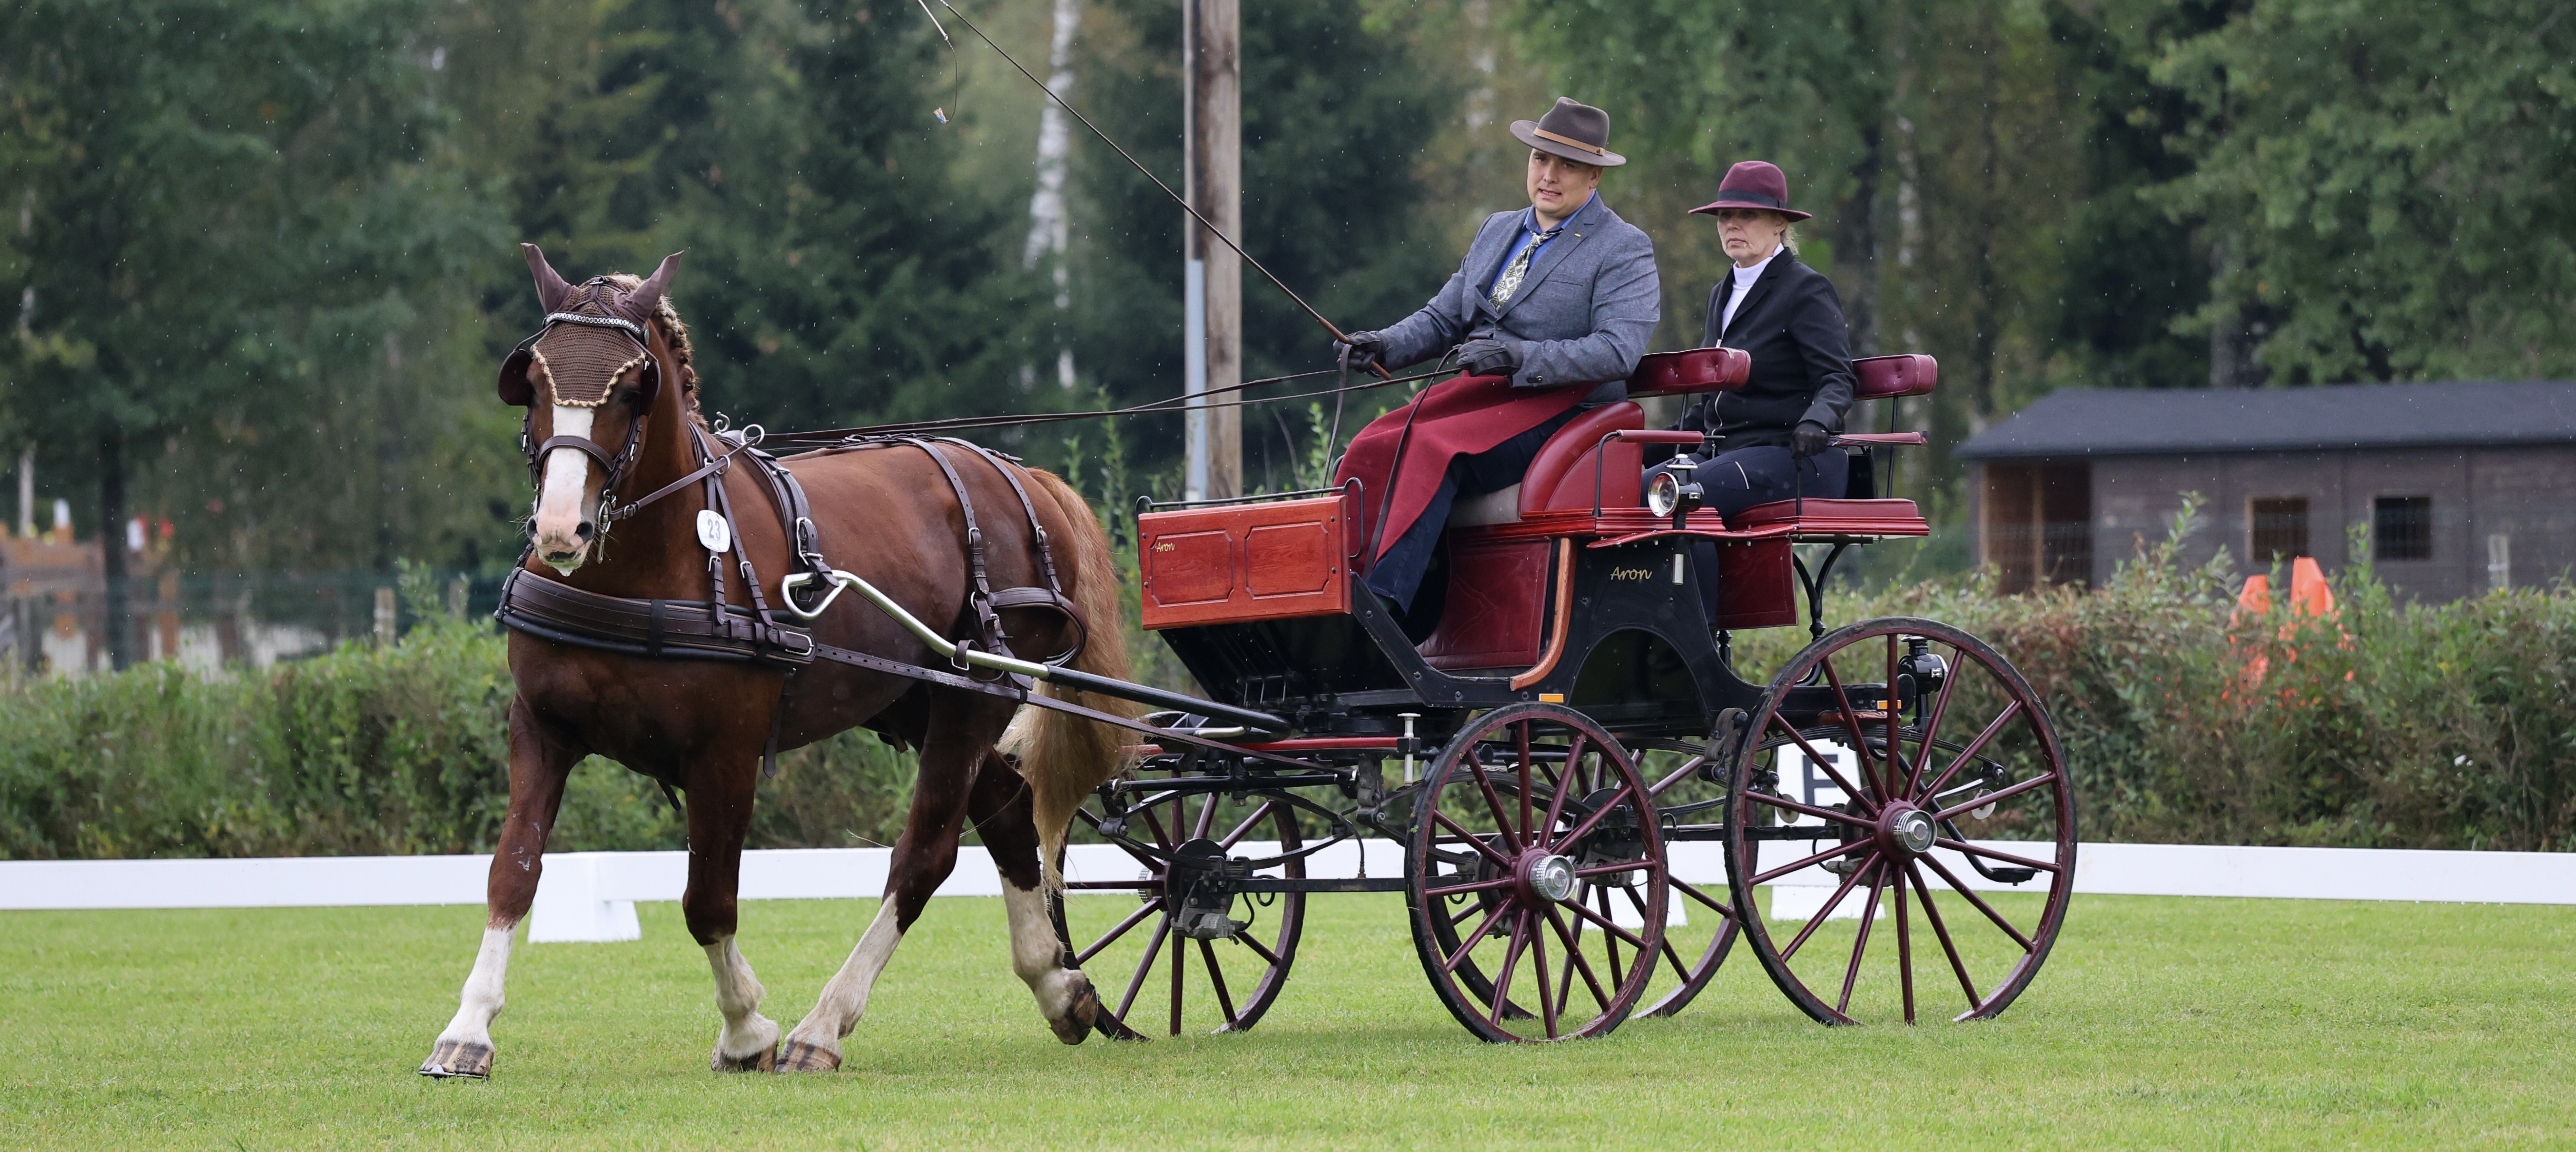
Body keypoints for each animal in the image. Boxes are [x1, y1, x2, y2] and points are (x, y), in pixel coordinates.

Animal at [422, 246, 1138, 1082]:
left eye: (632, 388)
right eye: (532, 381)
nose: (561, 528)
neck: (647, 567)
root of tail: (1023, 478)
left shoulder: (726, 751)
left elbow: (707, 899)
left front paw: (745, 1029)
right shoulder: (540, 727)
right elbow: (514, 870)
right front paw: (468, 1028)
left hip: (975, 694)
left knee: (925, 852)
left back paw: (824, 1025)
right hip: (915, 697)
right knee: (1005, 807)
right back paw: (1056, 983)